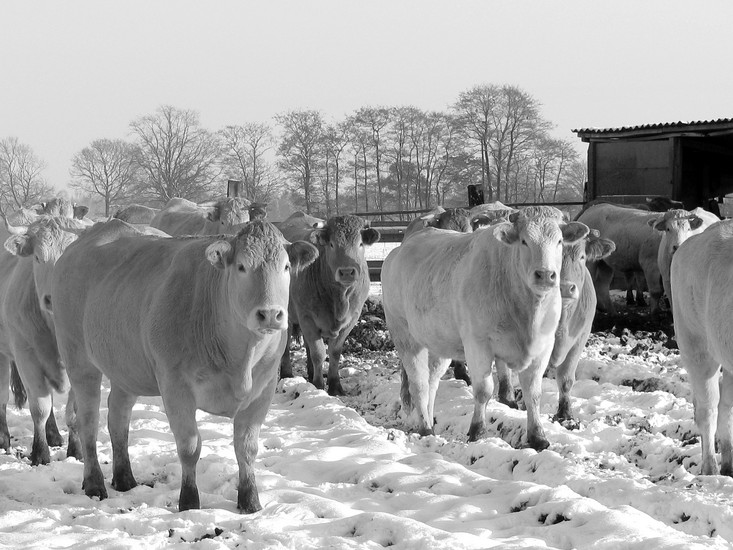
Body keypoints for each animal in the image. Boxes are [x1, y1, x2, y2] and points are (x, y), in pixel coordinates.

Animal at [0, 215, 87, 464]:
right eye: (38, 258)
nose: (52, 298)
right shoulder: (26, 357)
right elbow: (39, 407)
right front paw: (40, 453)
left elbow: (74, 412)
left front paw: (76, 451)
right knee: (2, 398)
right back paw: (4, 439)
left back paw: (54, 435)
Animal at [48, 219, 317, 512]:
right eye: (242, 266)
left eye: (286, 267)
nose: (269, 314)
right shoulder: (175, 385)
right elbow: (189, 446)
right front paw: (189, 500)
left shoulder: (264, 388)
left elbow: (247, 448)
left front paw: (250, 501)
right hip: (78, 358)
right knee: (88, 420)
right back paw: (94, 483)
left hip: (126, 367)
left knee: (118, 417)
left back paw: (125, 478)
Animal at [278, 214, 380, 396]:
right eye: (332, 244)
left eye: (360, 244)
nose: (347, 272)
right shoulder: (307, 318)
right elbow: (319, 353)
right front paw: (318, 385)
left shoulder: (351, 319)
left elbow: (334, 352)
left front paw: (334, 385)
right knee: (286, 345)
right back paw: (287, 374)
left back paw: (310, 373)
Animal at [382, 205, 589, 450]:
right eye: (524, 241)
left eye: (559, 241)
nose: (546, 274)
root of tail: (401, 247)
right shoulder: (477, 345)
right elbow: (483, 391)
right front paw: (477, 431)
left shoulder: (543, 347)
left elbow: (533, 393)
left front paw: (538, 436)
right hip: (405, 337)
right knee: (419, 384)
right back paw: (425, 428)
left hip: (437, 342)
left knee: (432, 382)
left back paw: (430, 423)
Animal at [494, 229, 616, 422]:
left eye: (582, 257)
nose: (565, 288)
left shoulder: (580, 338)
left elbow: (566, 379)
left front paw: (565, 414)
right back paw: (507, 398)